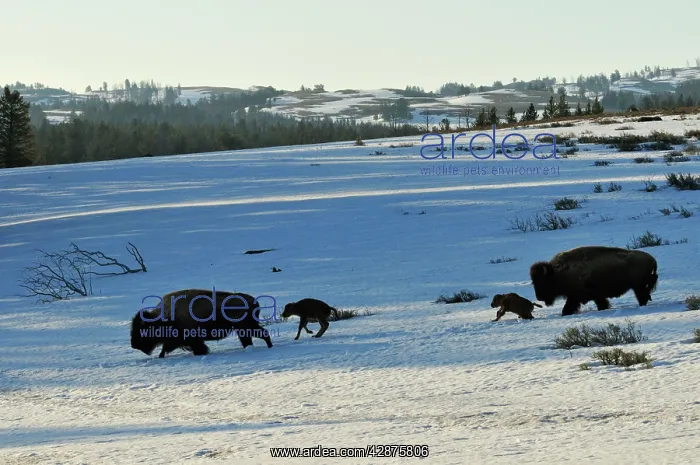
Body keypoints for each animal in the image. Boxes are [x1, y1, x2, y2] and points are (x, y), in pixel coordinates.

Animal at [130, 288, 273, 358]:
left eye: (142, 329)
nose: (133, 345)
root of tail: (254, 301)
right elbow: (165, 349)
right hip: (242, 329)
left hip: (246, 327)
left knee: (263, 334)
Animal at [529, 246, 658, 316]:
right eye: (533, 282)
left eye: (542, 282)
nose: (539, 297)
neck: (557, 273)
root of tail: (652, 259)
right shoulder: (590, 296)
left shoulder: (576, 296)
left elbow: (568, 307)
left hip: (638, 286)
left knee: (642, 297)